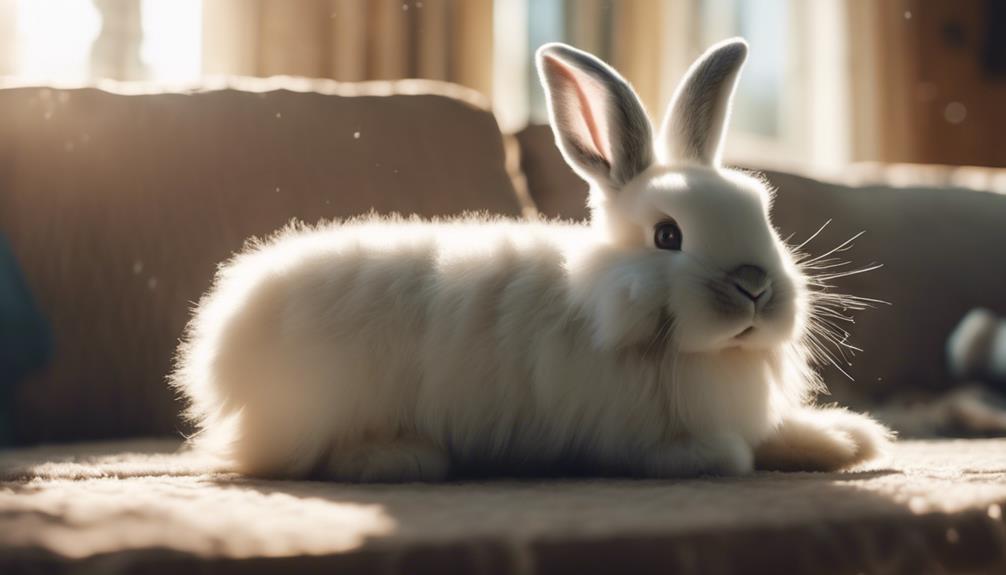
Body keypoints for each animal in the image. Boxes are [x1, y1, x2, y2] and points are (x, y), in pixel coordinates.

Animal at [172, 38, 893, 482]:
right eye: (667, 236)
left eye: (761, 210)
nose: (754, 286)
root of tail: (221, 344)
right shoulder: (629, 432)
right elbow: (715, 453)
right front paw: (725, 454)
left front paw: (845, 440)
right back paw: (402, 458)